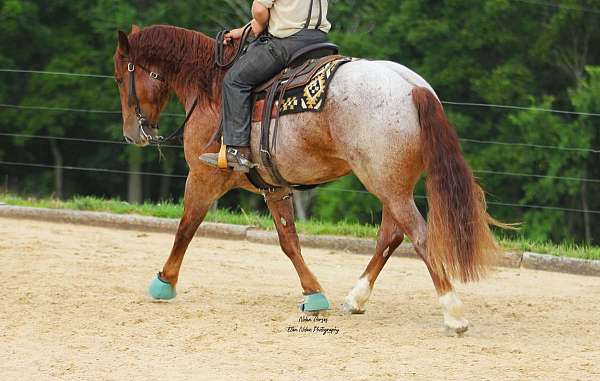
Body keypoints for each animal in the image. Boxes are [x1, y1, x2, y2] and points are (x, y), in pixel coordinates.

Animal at [112, 23, 502, 334]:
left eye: (119, 78)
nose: (132, 134)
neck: (211, 87)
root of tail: (413, 87)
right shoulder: (274, 187)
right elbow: (289, 242)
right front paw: (314, 293)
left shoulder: (204, 177)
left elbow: (186, 227)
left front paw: (164, 282)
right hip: (393, 185)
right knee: (391, 236)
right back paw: (357, 298)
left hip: (387, 186)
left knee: (419, 236)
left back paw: (452, 312)